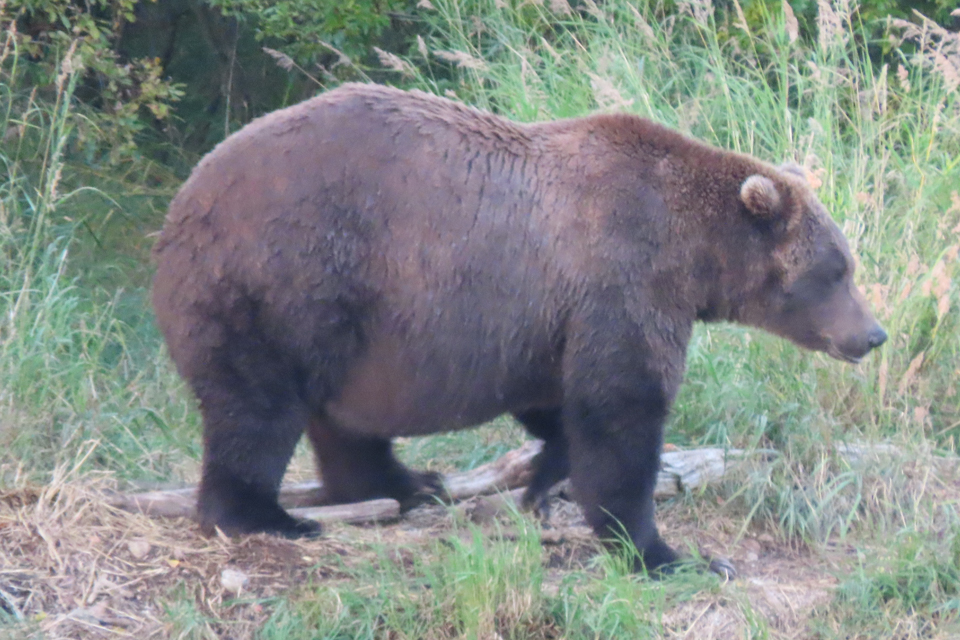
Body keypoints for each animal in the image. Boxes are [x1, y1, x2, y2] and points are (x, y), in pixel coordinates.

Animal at [152, 83, 887, 574]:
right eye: (837, 269)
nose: (873, 334)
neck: (694, 254)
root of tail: (180, 205)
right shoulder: (622, 279)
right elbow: (622, 409)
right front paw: (664, 551)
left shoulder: (548, 318)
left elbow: (559, 402)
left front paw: (542, 479)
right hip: (282, 280)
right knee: (257, 407)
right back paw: (272, 516)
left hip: (347, 326)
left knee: (341, 418)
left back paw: (407, 484)